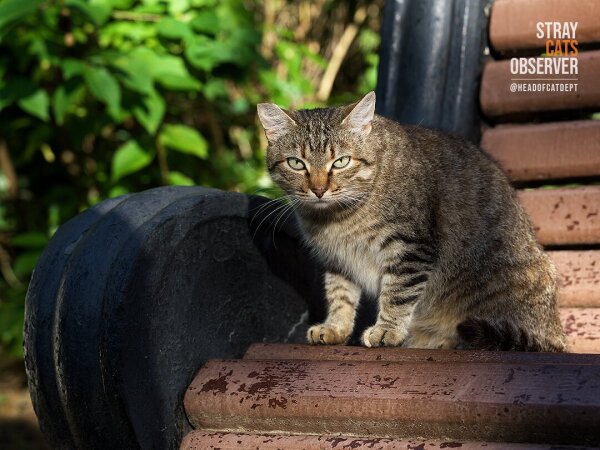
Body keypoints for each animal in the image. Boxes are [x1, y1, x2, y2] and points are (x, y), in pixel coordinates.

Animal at [256, 92, 568, 352]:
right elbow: (339, 296)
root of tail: (556, 334)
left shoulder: (410, 249)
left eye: (341, 162)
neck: (335, 219)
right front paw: (335, 329)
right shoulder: (338, 261)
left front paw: (387, 330)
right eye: (296, 163)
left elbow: (397, 294)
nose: (318, 189)